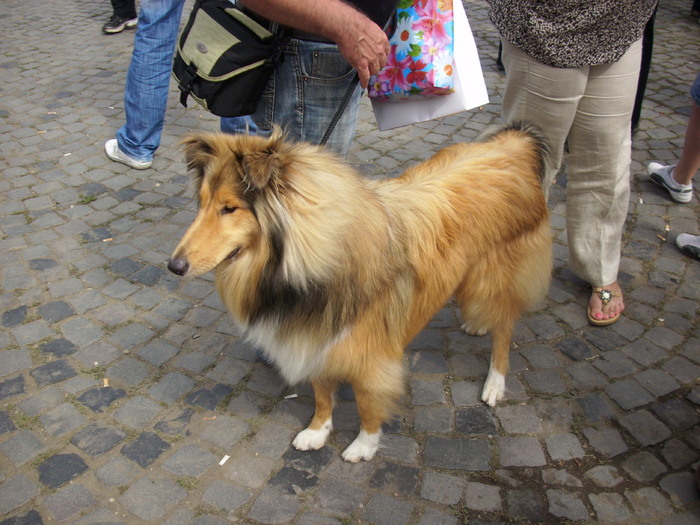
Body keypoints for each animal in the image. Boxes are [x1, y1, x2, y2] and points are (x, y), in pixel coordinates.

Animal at [168, 123, 552, 462]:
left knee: (504, 329)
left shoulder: (371, 355)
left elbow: (368, 404)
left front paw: (364, 445)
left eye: (229, 208)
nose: (174, 266)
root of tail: (513, 145)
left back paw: (494, 382)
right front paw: (318, 430)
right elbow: (322, 393)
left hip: (492, 280)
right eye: (201, 203)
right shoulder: (315, 334)